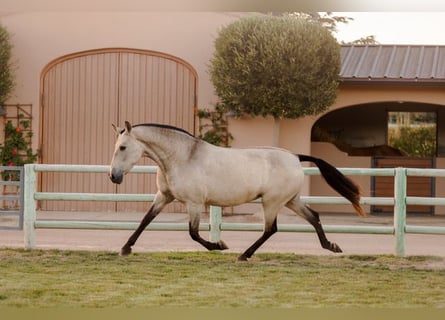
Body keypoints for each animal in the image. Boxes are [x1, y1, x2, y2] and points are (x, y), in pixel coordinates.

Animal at [108, 121, 364, 262]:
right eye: (116, 146)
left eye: (123, 147)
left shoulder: (194, 202)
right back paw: (331, 246)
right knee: (313, 217)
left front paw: (219, 246)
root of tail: (294, 156)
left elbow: (193, 233)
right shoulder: (164, 197)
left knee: (271, 229)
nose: (113, 176)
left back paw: (244, 255)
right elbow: (145, 220)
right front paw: (125, 248)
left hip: (272, 202)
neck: (183, 156)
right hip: (291, 200)